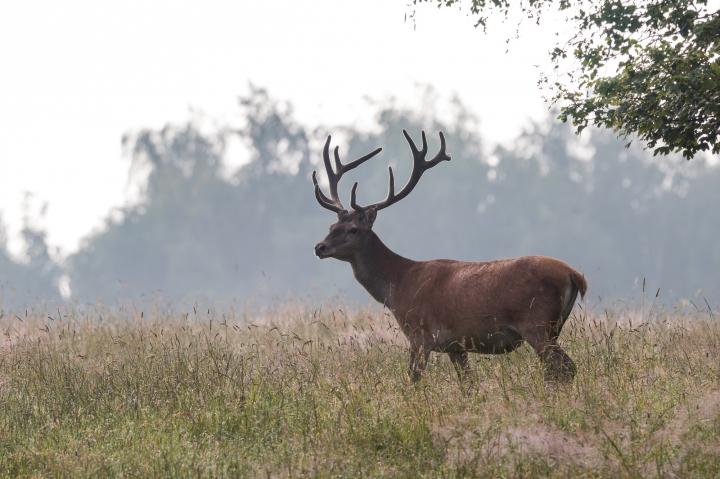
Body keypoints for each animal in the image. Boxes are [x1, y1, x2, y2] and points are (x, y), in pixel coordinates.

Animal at [312, 130, 588, 382]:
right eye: (331, 226)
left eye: (353, 229)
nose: (319, 247)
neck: (398, 287)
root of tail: (574, 275)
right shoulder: (455, 345)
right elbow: (468, 383)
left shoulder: (420, 334)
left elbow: (413, 378)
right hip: (551, 327)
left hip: (537, 323)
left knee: (564, 368)